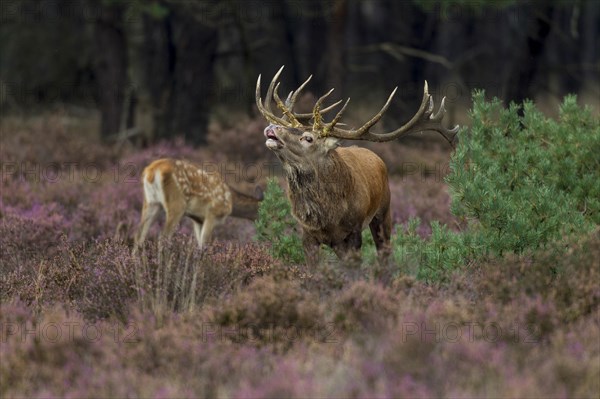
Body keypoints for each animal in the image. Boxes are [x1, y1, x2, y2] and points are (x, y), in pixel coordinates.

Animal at [135, 159, 264, 250]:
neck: (231, 200)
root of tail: (151, 172)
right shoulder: (213, 214)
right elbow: (204, 246)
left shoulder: (198, 219)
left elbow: (199, 244)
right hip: (176, 204)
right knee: (163, 237)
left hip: (151, 202)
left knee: (139, 236)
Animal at [255, 66, 458, 266]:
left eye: (308, 138)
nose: (273, 127)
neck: (328, 215)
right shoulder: (308, 234)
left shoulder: (354, 231)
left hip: (384, 211)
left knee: (384, 250)